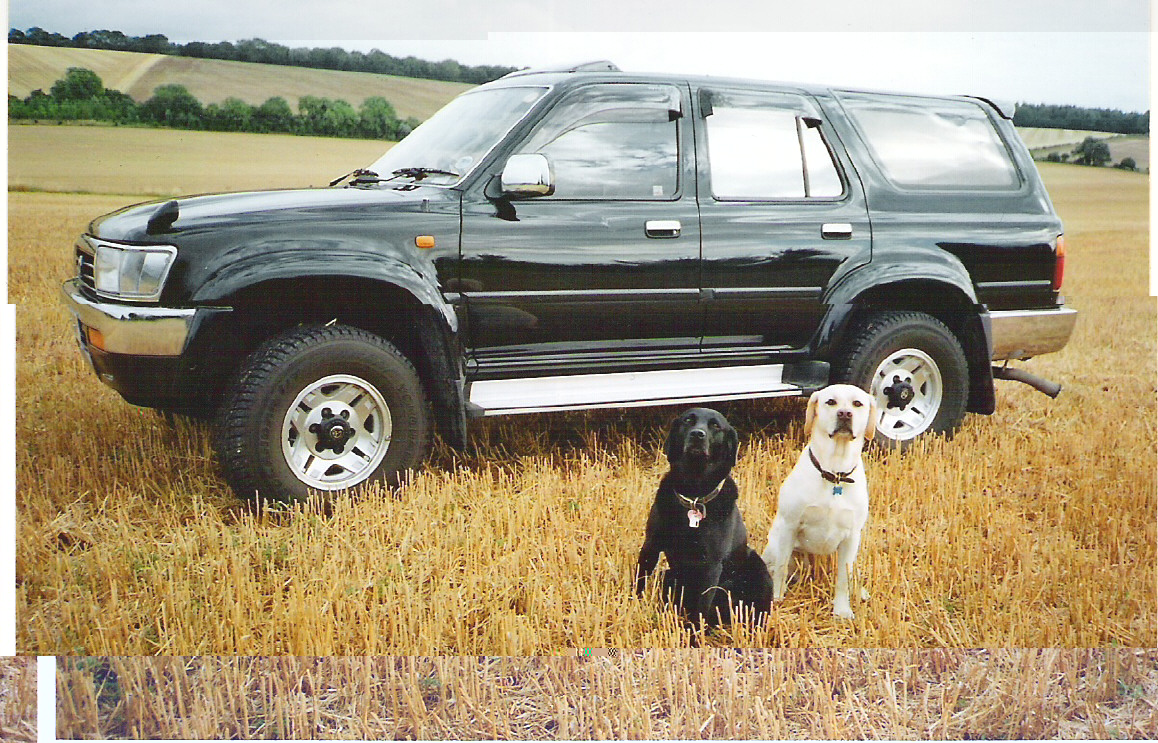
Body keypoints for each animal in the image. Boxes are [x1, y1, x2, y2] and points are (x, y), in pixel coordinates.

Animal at [636, 408, 772, 627]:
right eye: (688, 420)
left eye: (715, 425)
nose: (697, 434)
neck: (694, 495)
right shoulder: (651, 545)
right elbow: (639, 581)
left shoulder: (710, 566)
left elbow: (699, 611)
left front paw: (693, 634)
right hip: (670, 576)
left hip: (758, 569)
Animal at [761, 384, 876, 619]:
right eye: (830, 402)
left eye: (857, 403)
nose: (845, 414)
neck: (835, 473)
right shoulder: (789, 526)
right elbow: (781, 568)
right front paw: (776, 598)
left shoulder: (852, 536)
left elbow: (844, 579)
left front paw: (842, 610)